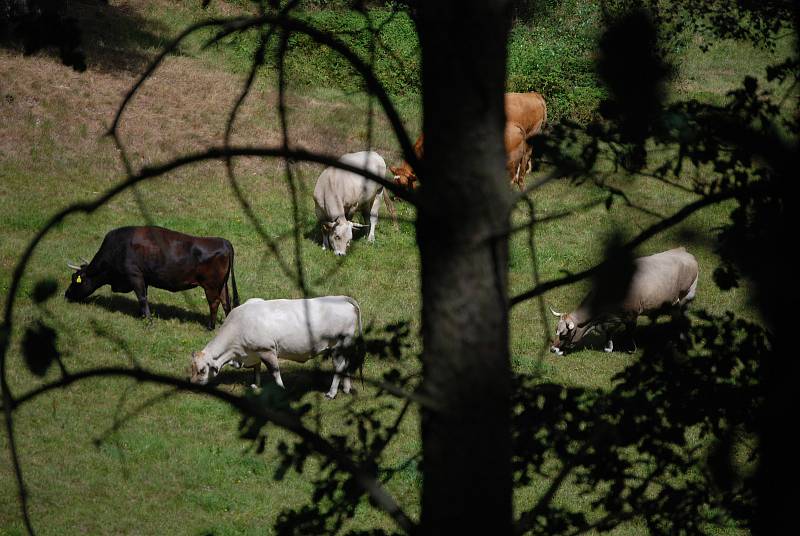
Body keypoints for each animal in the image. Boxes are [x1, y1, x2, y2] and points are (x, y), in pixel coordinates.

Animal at [64, 225, 239, 328]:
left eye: (75, 279)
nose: (66, 294)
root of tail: (223, 241)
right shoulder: (144, 278)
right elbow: (144, 296)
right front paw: (141, 314)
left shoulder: (134, 274)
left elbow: (142, 297)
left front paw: (148, 320)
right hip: (222, 285)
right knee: (226, 302)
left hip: (211, 286)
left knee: (214, 303)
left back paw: (210, 326)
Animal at [191, 296, 362, 400]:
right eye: (191, 368)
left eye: (202, 370)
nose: (192, 384)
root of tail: (341, 298)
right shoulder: (254, 352)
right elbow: (257, 369)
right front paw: (256, 385)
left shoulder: (267, 350)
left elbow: (275, 372)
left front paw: (280, 390)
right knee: (345, 365)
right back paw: (346, 389)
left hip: (338, 345)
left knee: (339, 366)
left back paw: (331, 393)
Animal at [552, 247, 700, 356]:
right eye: (556, 330)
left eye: (564, 334)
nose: (553, 349)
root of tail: (684, 252)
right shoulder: (615, 316)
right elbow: (609, 330)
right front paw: (608, 347)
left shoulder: (631, 315)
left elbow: (630, 332)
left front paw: (631, 349)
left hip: (687, 295)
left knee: (682, 316)